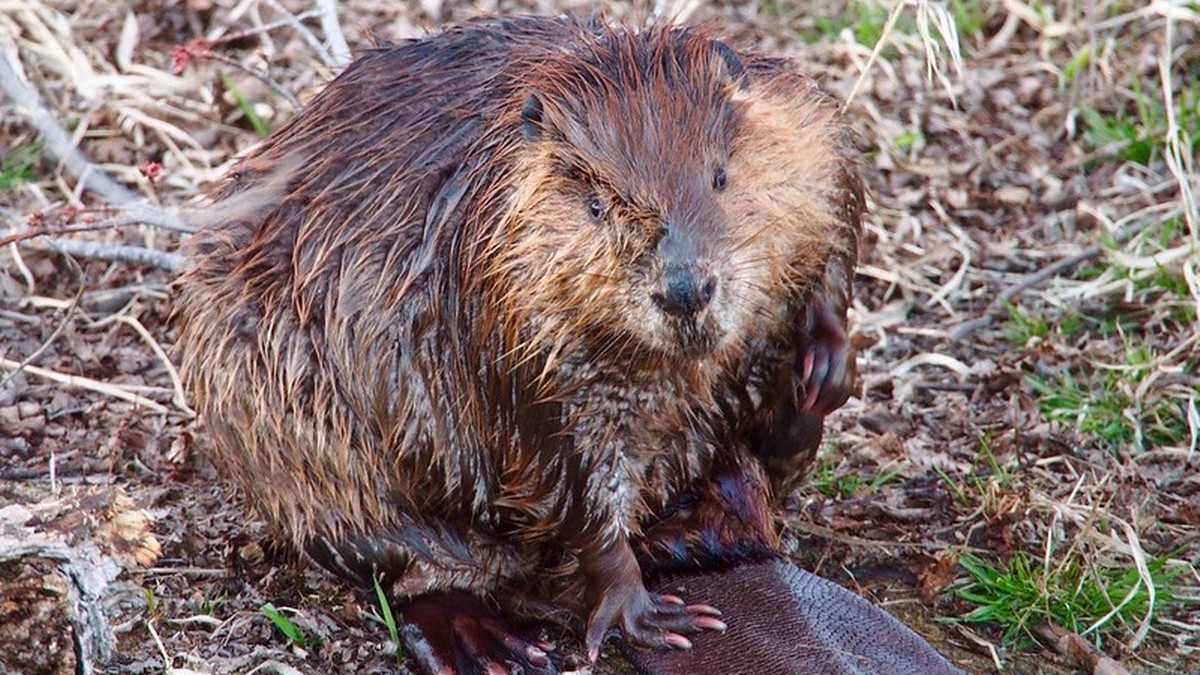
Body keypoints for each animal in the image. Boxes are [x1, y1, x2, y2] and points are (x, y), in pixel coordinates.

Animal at [175, 15, 864, 672]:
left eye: (719, 175)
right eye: (595, 205)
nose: (685, 290)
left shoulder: (812, 135)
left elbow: (834, 235)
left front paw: (827, 361)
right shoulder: (501, 306)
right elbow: (560, 461)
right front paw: (644, 612)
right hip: (282, 424)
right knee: (420, 564)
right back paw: (493, 645)